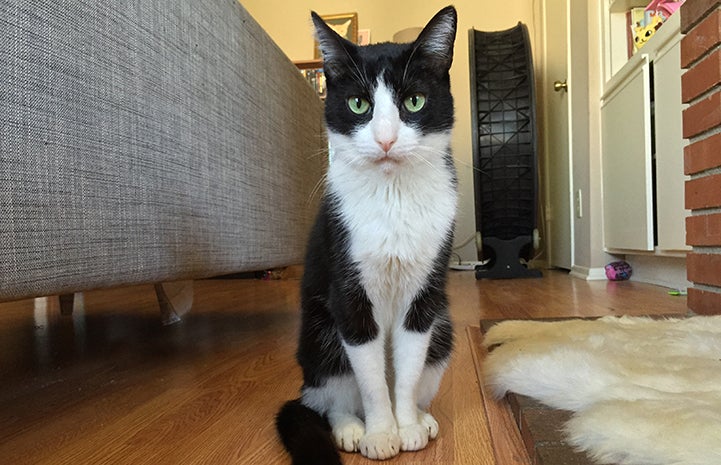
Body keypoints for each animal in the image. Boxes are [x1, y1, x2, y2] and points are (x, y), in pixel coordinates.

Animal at [276, 6, 456, 460]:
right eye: (359, 104)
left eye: (414, 101)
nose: (386, 139)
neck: (393, 197)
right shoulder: (349, 290)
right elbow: (372, 380)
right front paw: (380, 434)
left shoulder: (423, 295)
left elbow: (407, 371)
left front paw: (406, 426)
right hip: (319, 337)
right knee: (331, 398)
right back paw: (350, 429)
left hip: (444, 327)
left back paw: (424, 418)